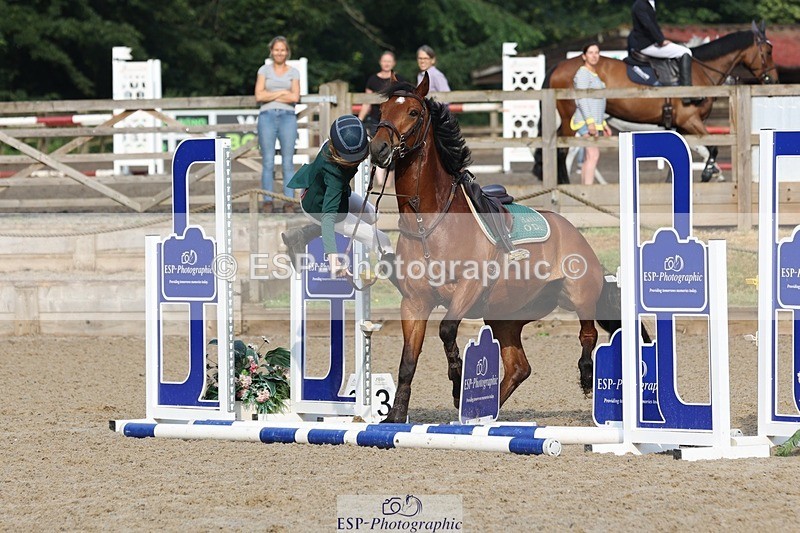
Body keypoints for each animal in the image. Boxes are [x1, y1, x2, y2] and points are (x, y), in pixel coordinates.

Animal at [369, 72, 625, 423]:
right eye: (382, 110)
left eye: (413, 112)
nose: (378, 148)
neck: (428, 226)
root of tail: (572, 231)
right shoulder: (414, 304)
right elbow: (408, 362)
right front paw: (395, 416)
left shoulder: (468, 288)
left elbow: (447, 330)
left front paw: (456, 382)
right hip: (505, 316)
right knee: (519, 367)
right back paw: (482, 413)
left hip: (579, 294)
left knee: (588, 334)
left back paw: (586, 376)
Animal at [533, 21, 778, 184]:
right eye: (767, 51)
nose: (773, 80)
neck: (697, 70)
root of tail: (558, 66)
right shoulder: (690, 120)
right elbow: (711, 148)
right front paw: (710, 172)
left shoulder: (681, 126)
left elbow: (691, 151)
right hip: (574, 119)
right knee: (564, 152)